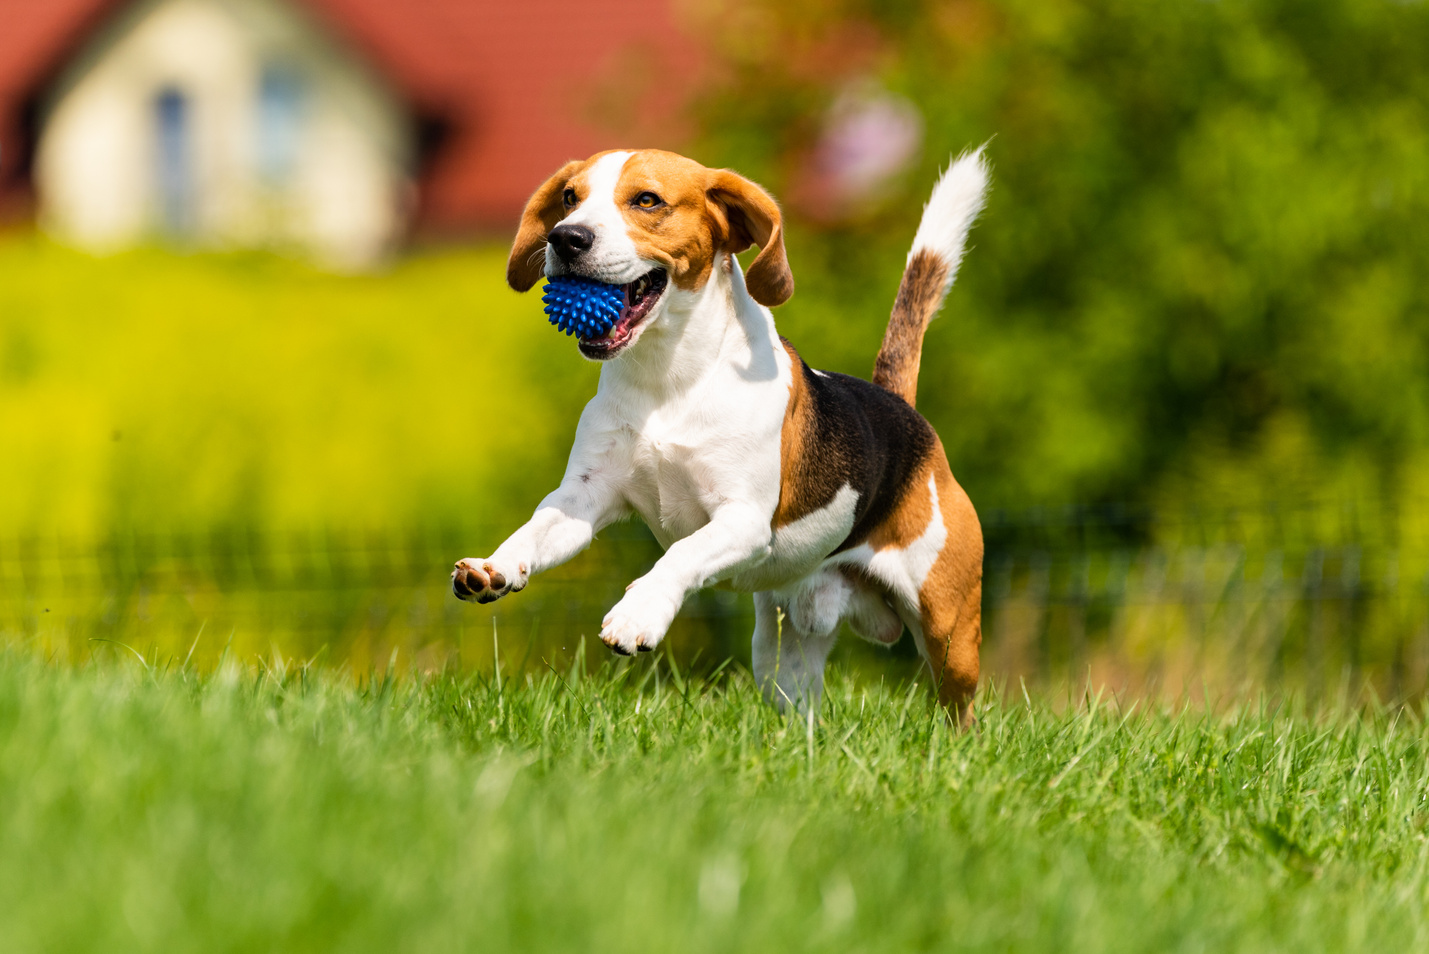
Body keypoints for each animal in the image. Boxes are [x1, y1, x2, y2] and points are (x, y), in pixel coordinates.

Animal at [451, 147, 988, 722]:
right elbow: (535, 530)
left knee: (961, 711)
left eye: (647, 200)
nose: (565, 237)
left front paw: (638, 615)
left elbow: (681, 554)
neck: (666, 378)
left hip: (948, 629)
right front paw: (492, 568)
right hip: (782, 652)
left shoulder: (742, 520)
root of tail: (903, 411)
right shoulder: (584, 498)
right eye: (570, 198)